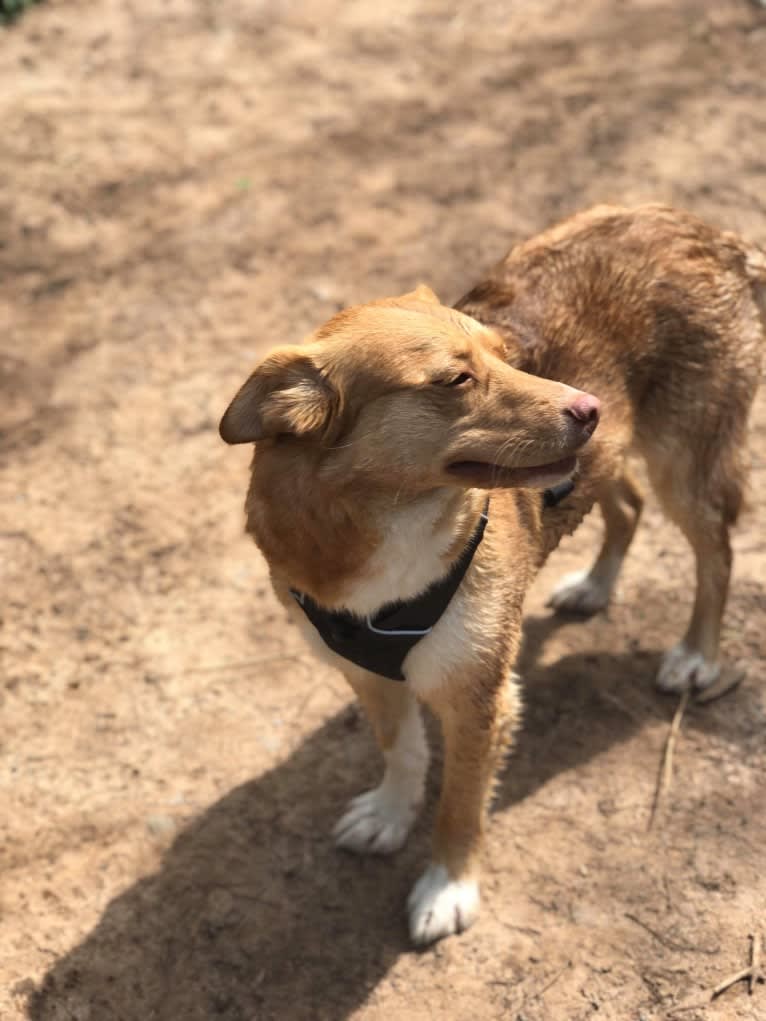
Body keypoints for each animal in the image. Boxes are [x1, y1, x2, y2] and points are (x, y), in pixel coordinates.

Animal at [218, 203, 763, 943]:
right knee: (626, 504)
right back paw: (594, 587)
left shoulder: (479, 702)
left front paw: (448, 887)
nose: (590, 408)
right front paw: (389, 814)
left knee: (716, 553)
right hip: (608, 460)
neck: (388, 522)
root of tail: (708, 230)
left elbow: (459, 802)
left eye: (507, 357)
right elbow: (402, 750)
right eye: (455, 379)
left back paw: (696, 655)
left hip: (685, 458)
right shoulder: (365, 675)